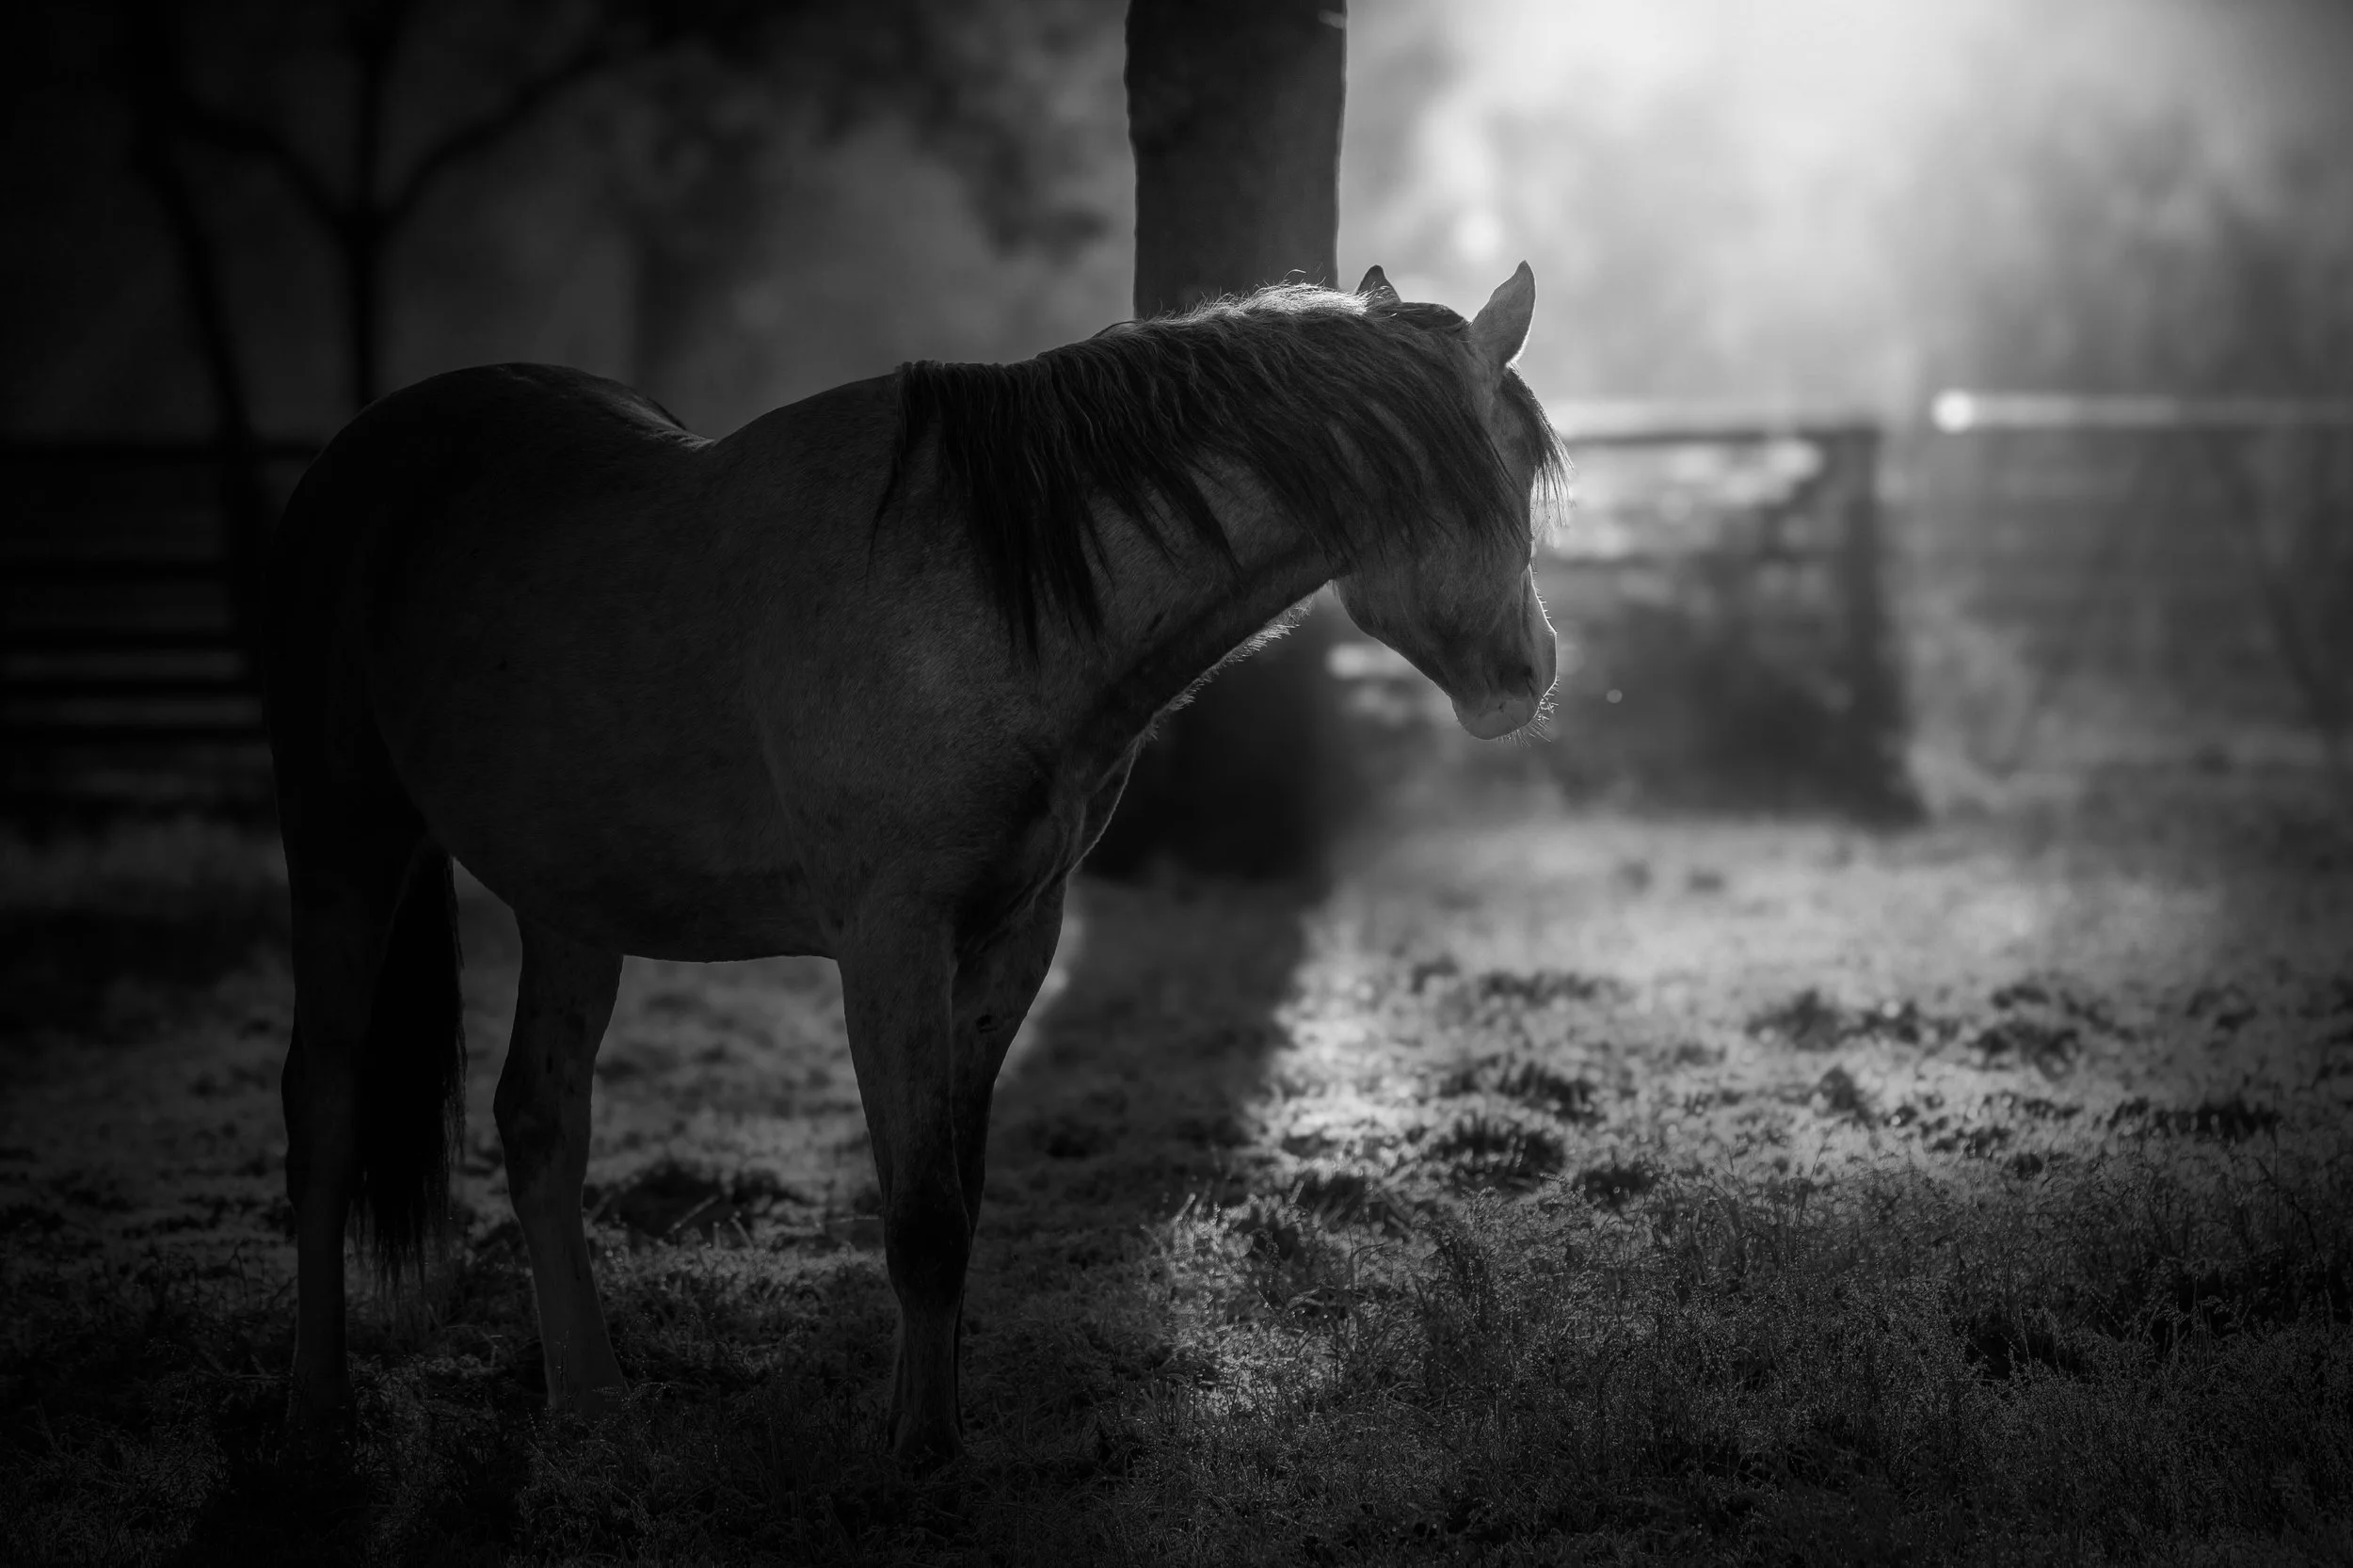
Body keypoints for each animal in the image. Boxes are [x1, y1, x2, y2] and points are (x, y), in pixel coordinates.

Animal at [264, 262, 1567, 1466]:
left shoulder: (1009, 940)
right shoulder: (891, 943)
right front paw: (922, 1453)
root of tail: (357, 460)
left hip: (571, 897)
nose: (1533, 670)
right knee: (324, 1108)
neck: (988, 596)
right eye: (1503, 468)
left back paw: (588, 1400)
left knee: (539, 1122)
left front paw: (921, 1422)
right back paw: (319, 1407)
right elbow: (923, 1216)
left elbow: (954, 1197)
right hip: (344, 844)